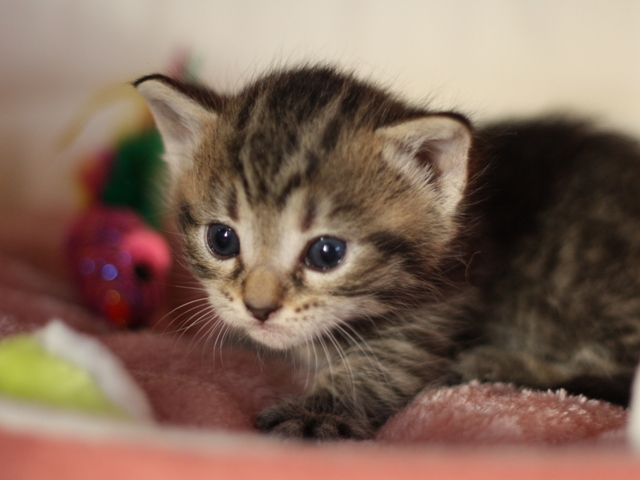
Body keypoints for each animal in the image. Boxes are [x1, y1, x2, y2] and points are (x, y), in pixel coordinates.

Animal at [134, 66, 640, 438]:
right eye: (222, 240)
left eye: (327, 253)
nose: (258, 308)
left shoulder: (449, 302)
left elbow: (389, 360)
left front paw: (320, 412)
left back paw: (497, 364)